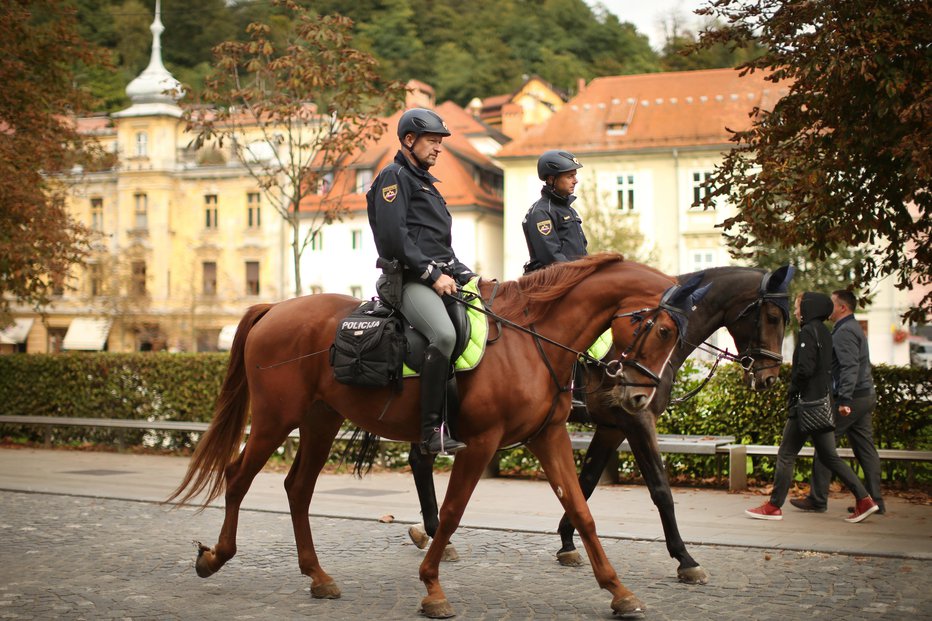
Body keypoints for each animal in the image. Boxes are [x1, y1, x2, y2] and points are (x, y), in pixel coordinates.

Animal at [167, 254, 708, 616]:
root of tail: (275, 308)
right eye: (663, 331)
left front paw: (619, 590)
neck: (531, 338)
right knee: (237, 478)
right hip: (276, 420)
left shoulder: (547, 436)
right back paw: (215, 558)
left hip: (320, 421)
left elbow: (582, 511)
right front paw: (432, 587)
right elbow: (450, 514)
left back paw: (317, 577)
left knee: (297, 490)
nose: (639, 399)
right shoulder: (482, 443)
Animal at [408, 266, 792, 580]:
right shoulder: (637, 421)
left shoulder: (611, 427)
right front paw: (685, 558)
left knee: (419, 459)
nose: (770, 377)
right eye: (773, 317)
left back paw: (428, 531)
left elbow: (587, 481)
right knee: (422, 460)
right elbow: (660, 489)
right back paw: (435, 531)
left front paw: (567, 539)